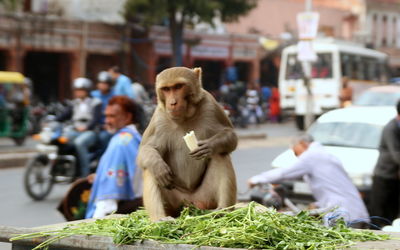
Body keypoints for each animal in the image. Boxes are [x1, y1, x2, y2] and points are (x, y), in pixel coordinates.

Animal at [138, 66, 238, 221]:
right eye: (166, 89)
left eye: (178, 86)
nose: (173, 103)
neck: (185, 117)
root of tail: (189, 204)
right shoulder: (159, 117)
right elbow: (146, 149)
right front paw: (158, 166)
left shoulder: (210, 103)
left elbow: (230, 135)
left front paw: (210, 146)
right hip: (174, 202)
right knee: (150, 170)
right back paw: (160, 218)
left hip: (205, 197)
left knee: (220, 155)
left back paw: (222, 210)